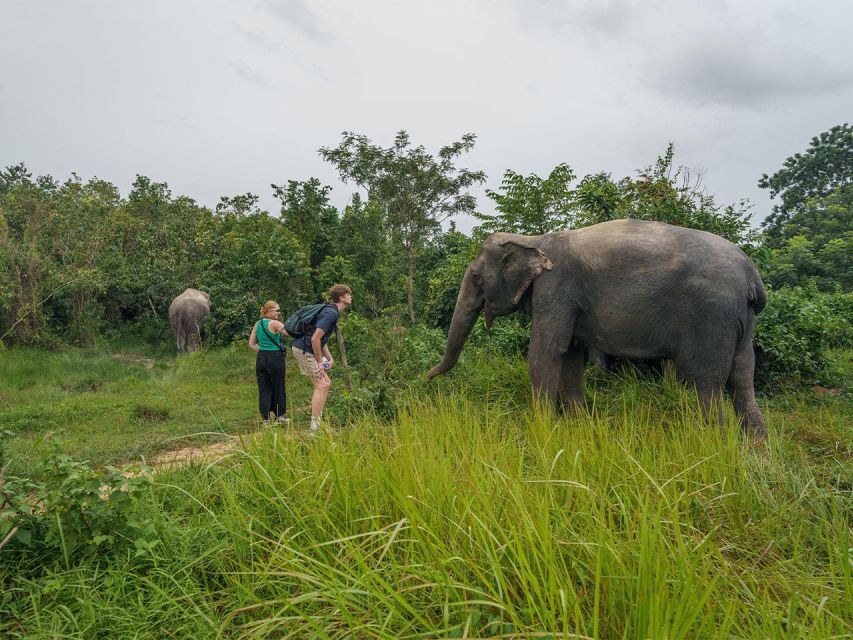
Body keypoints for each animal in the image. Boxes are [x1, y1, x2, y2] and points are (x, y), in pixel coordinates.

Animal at [430, 220, 768, 440]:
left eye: (476, 277)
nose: (427, 377)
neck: (532, 239)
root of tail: (752, 274)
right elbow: (570, 355)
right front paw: (578, 428)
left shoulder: (556, 288)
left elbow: (546, 351)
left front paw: (541, 430)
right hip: (741, 320)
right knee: (742, 379)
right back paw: (755, 456)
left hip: (712, 318)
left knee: (707, 383)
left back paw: (714, 447)